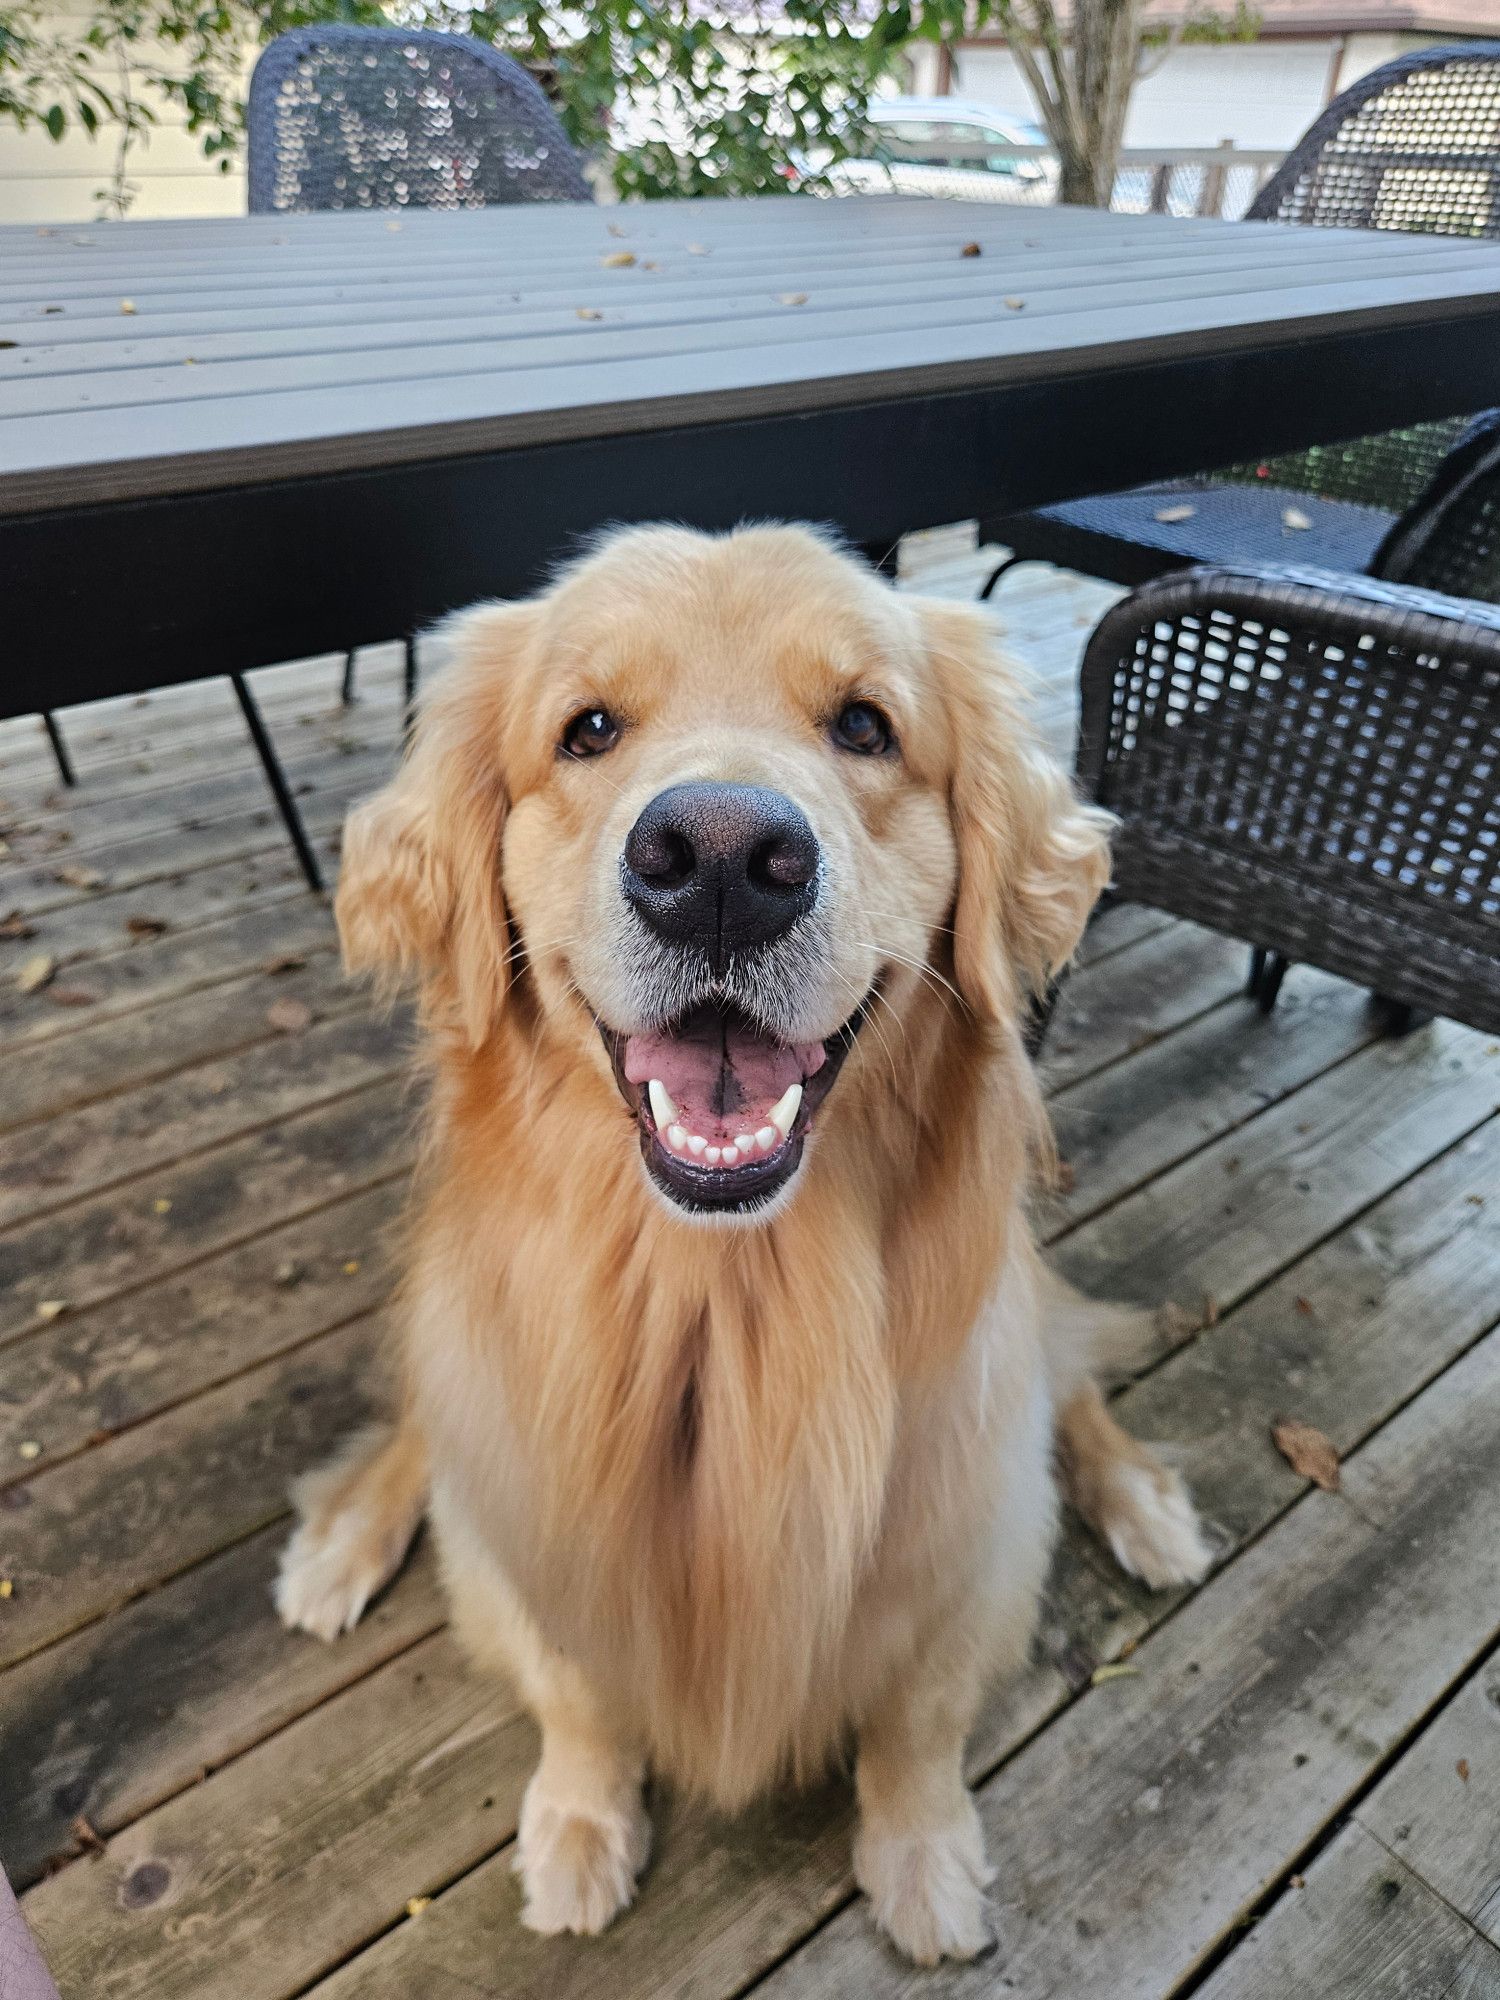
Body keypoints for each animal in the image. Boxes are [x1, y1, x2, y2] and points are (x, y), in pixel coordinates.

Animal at [276, 524, 1216, 1960]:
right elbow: (578, 1686)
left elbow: (916, 1717)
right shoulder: (537, 1520)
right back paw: (342, 1541)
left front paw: (922, 1853)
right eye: (588, 728)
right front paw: (580, 1819)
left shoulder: (965, 1529)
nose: (719, 859)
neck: (725, 1303)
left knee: (1069, 1377)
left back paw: (1148, 1504)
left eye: (866, 726)